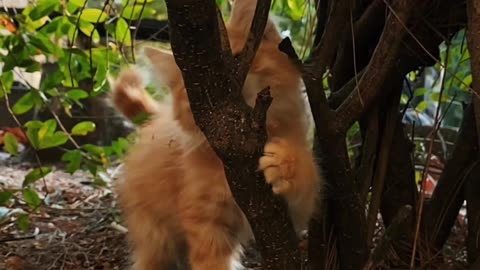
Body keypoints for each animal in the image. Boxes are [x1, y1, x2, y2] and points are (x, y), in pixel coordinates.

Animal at [111, 1, 322, 268]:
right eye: (194, 89)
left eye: (235, 59)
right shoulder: (205, 222)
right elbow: (211, 261)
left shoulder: (292, 215)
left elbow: (307, 182)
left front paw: (285, 163)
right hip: (155, 236)